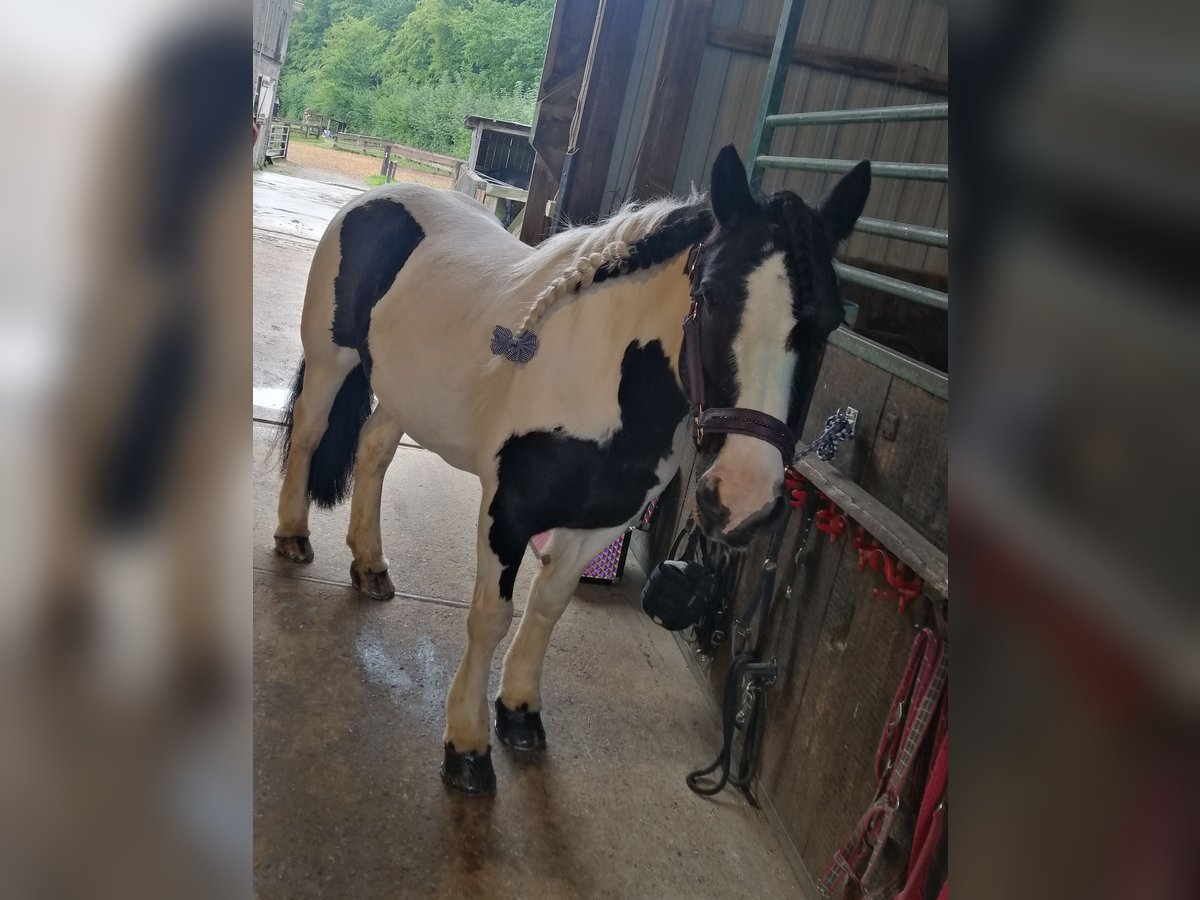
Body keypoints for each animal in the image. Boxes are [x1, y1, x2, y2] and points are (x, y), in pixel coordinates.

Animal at [274, 148, 868, 796]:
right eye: (710, 296)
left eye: (829, 321)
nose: (743, 499)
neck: (603, 379)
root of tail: (374, 198)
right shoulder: (507, 512)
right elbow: (491, 618)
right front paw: (467, 747)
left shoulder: (601, 523)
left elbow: (549, 605)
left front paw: (519, 712)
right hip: (332, 362)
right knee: (308, 437)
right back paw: (293, 536)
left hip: (406, 395)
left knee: (375, 449)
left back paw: (371, 565)